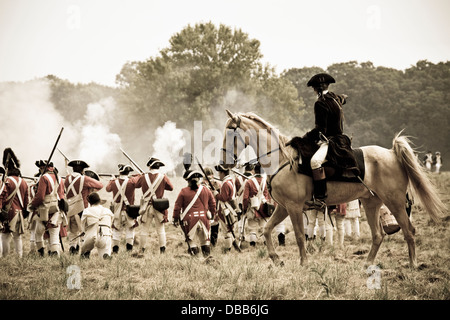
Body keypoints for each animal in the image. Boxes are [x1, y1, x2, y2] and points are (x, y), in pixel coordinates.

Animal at [220, 110, 444, 268]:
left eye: (231, 132)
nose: (223, 163)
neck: (283, 159)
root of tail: (391, 153)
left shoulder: (293, 207)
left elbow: (300, 236)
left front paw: (304, 263)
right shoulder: (283, 207)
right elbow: (267, 230)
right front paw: (276, 259)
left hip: (395, 202)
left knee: (409, 231)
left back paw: (413, 264)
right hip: (371, 203)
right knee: (378, 235)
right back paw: (367, 264)